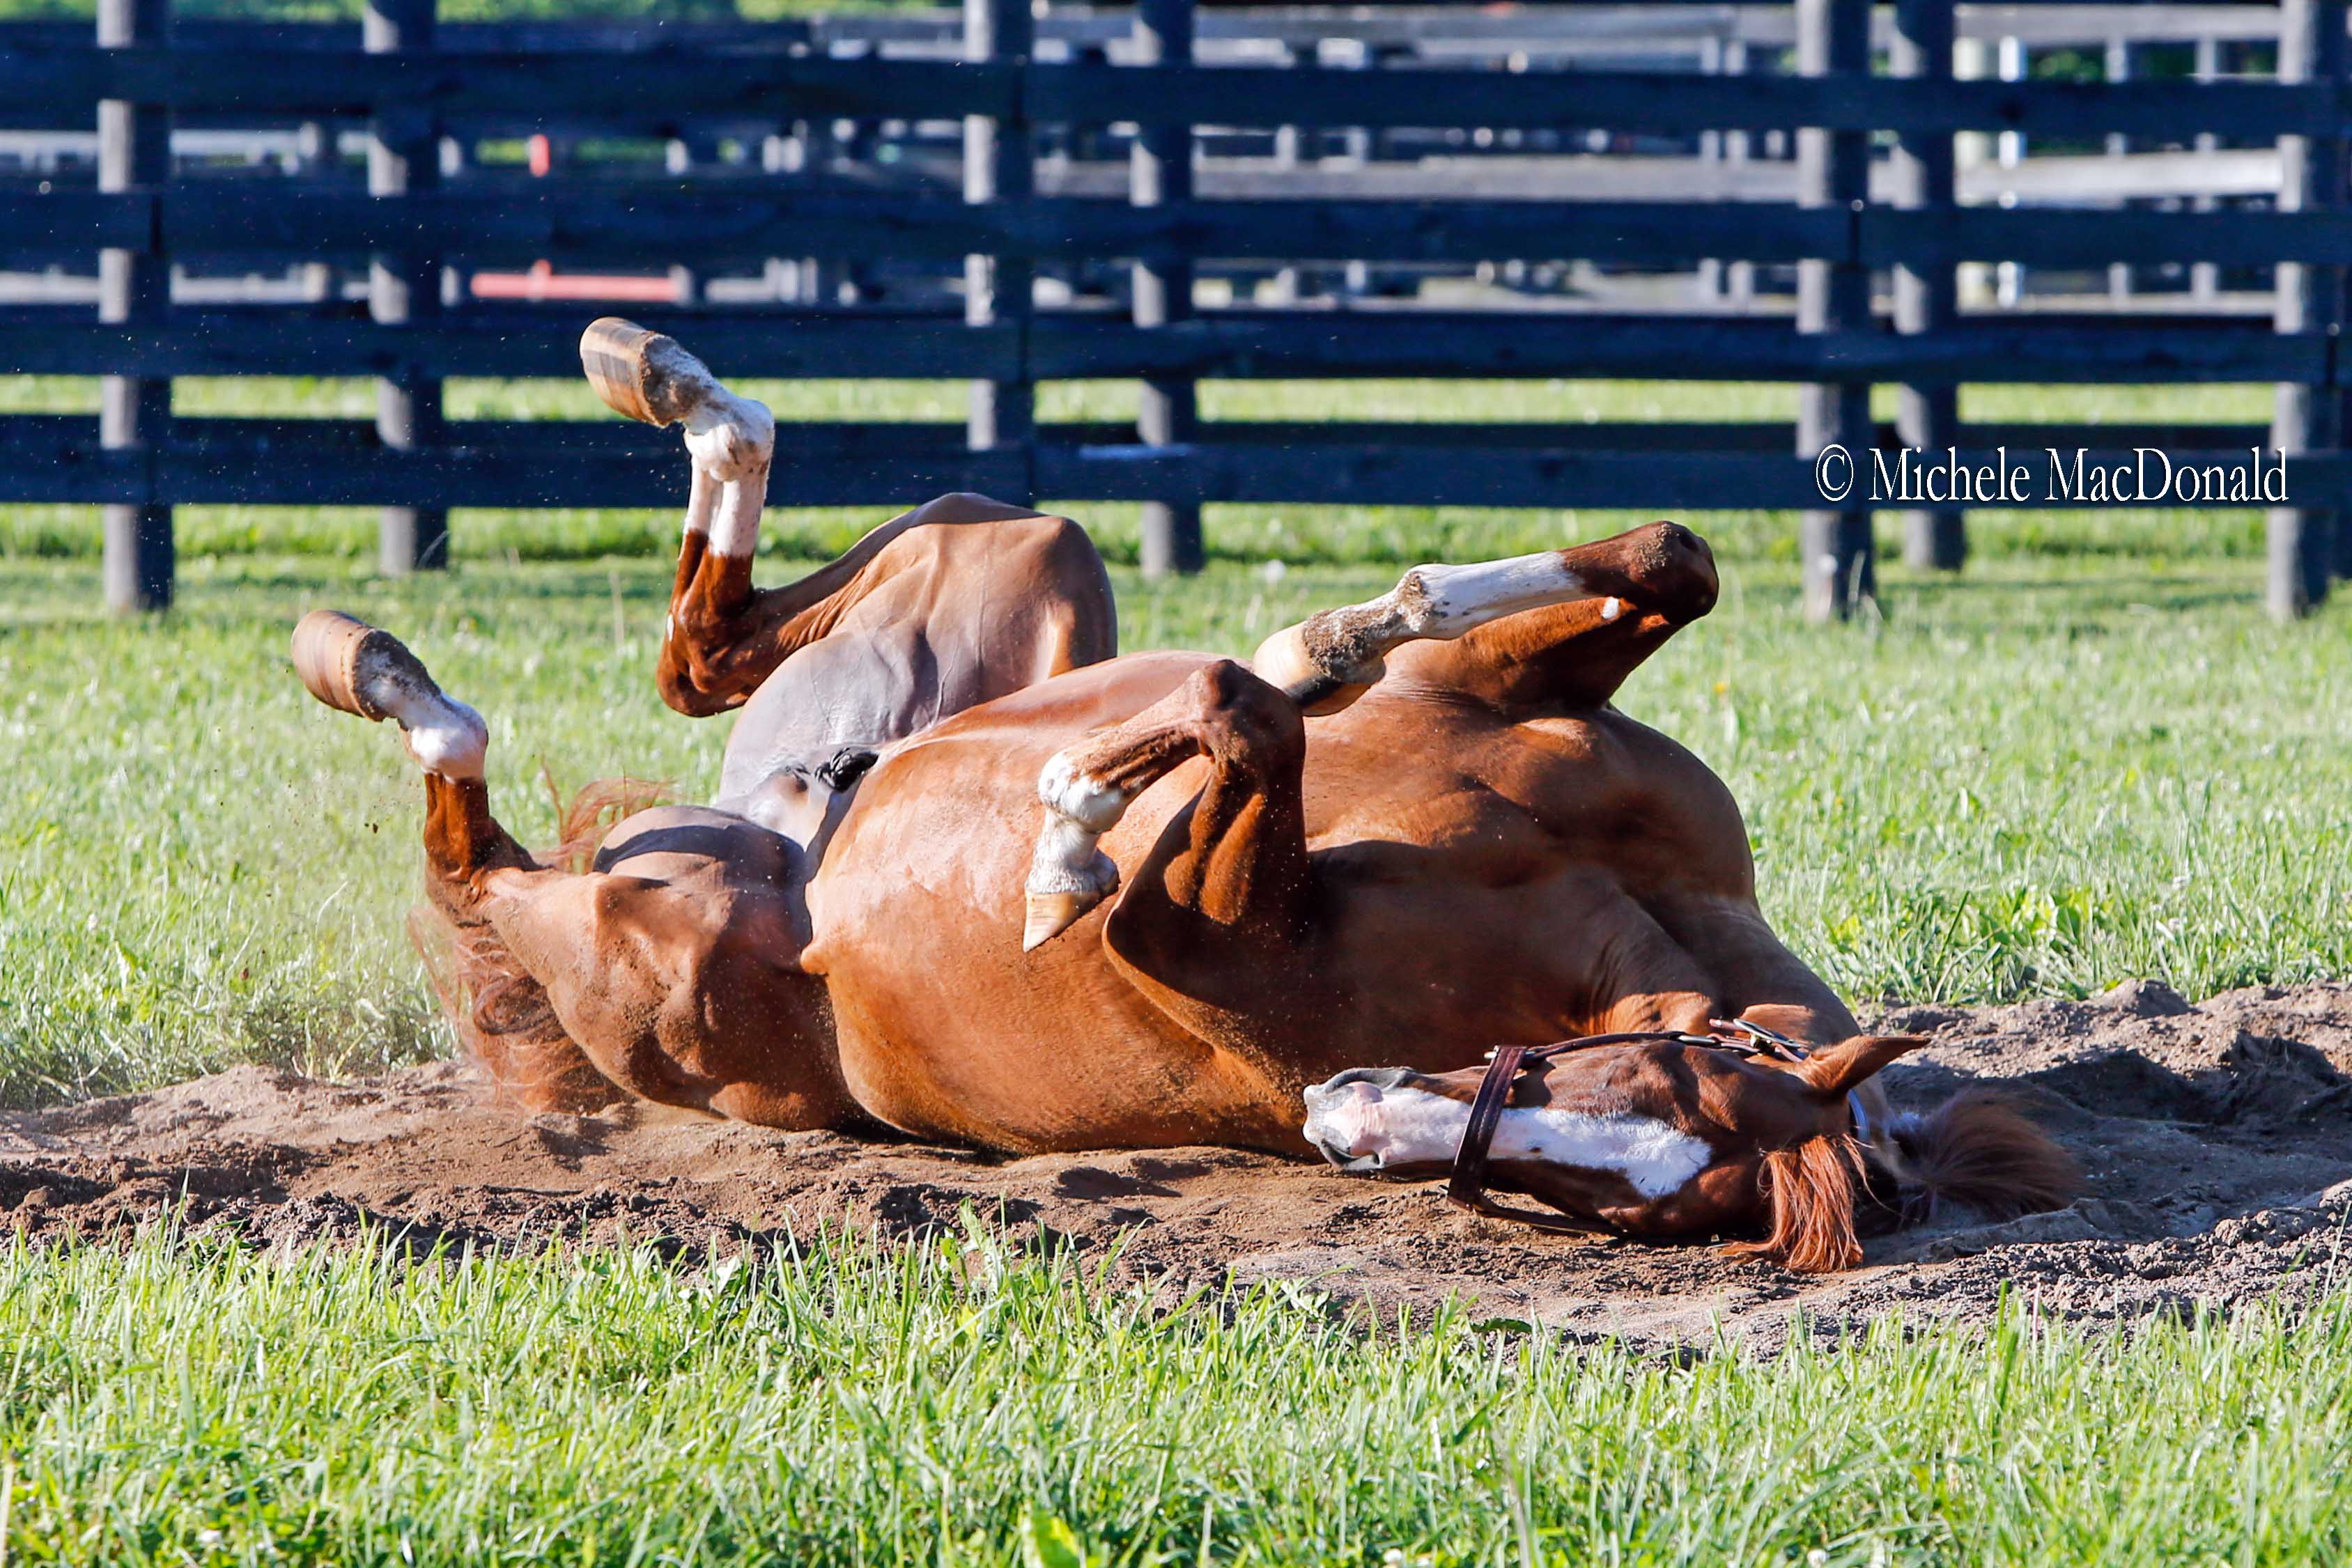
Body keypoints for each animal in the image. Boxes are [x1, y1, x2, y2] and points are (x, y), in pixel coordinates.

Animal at [294, 319, 2079, 1259]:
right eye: (1637, 1080)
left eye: (1630, 1206)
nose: (1350, 1116)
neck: (1585, 902)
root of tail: (792, 855)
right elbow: (1650, 560)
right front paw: (1127, 781)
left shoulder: (1197, 945)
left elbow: (1245, 712)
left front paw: (1072, 832)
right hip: (1019, 557)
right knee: (699, 644)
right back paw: (632, 386)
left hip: (652, 953)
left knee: (492, 816)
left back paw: (376, 663)